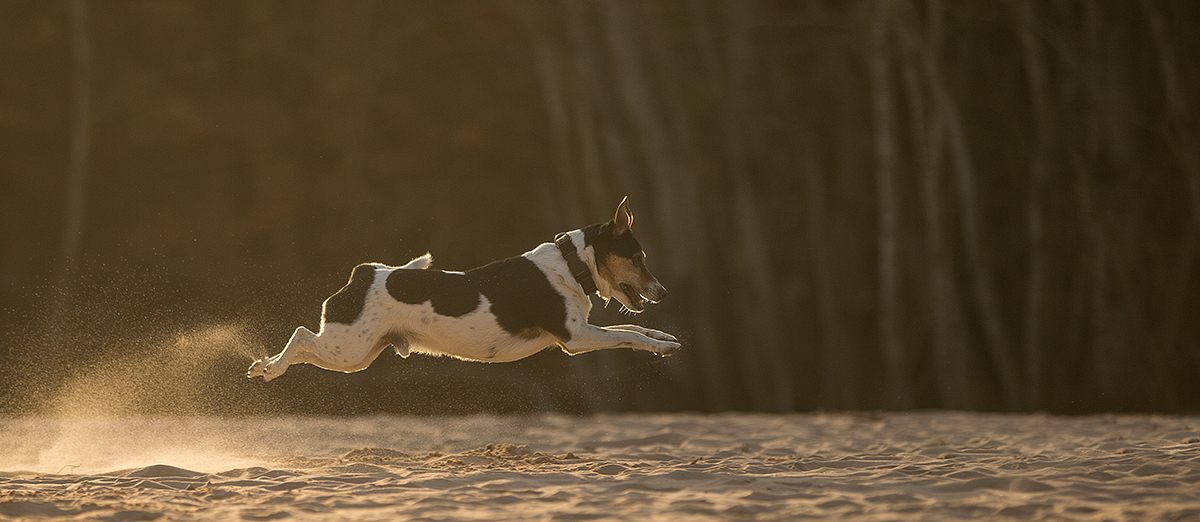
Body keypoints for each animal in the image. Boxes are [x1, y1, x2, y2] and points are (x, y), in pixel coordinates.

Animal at [248, 198, 681, 381]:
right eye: (638, 258)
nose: (663, 293)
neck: (571, 265)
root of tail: (365, 273)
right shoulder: (573, 338)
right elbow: (627, 334)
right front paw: (659, 347)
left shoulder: (584, 332)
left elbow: (635, 329)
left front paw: (666, 339)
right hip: (347, 348)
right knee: (301, 336)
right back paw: (269, 367)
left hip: (357, 355)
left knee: (306, 345)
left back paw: (265, 365)